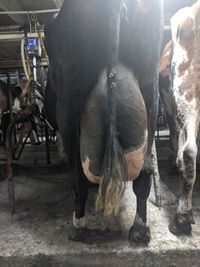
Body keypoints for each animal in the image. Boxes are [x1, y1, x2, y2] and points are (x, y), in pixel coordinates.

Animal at [44, 0, 163, 243]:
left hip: (67, 106)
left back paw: (78, 228)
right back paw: (140, 230)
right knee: (145, 172)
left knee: (78, 177)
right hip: (150, 90)